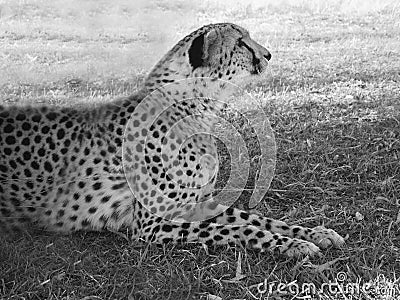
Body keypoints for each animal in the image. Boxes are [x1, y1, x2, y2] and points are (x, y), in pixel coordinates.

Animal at [0, 24, 344, 258]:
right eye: (241, 43)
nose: (269, 54)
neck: (196, 107)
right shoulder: (154, 225)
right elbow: (239, 228)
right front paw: (295, 244)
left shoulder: (197, 202)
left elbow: (255, 218)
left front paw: (315, 233)